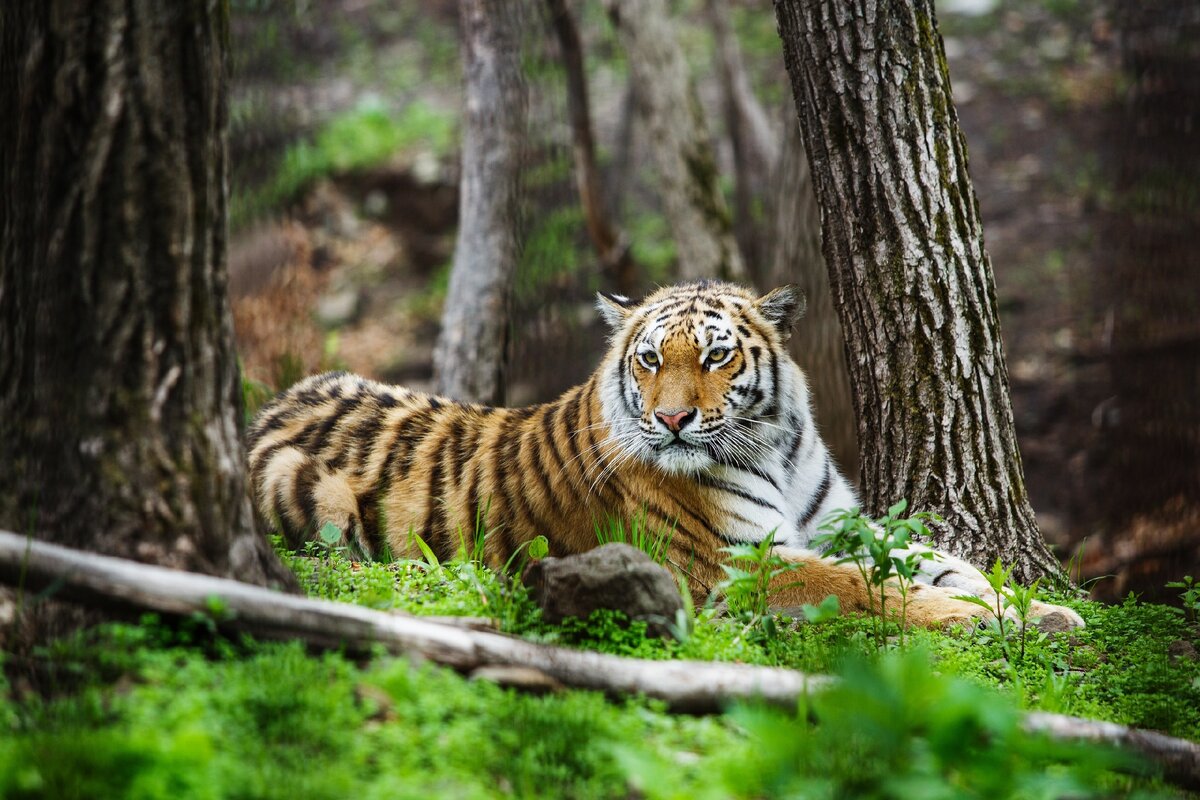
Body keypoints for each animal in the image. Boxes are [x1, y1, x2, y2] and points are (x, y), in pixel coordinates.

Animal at [248, 281, 1084, 633]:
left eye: (715, 355)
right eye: (650, 359)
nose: (673, 419)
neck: (776, 443)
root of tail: (265, 408)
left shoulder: (840, 522)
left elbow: (939, 561)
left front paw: (1041, 608)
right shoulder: (735, 564)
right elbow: (867, 588)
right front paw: (984, 620)